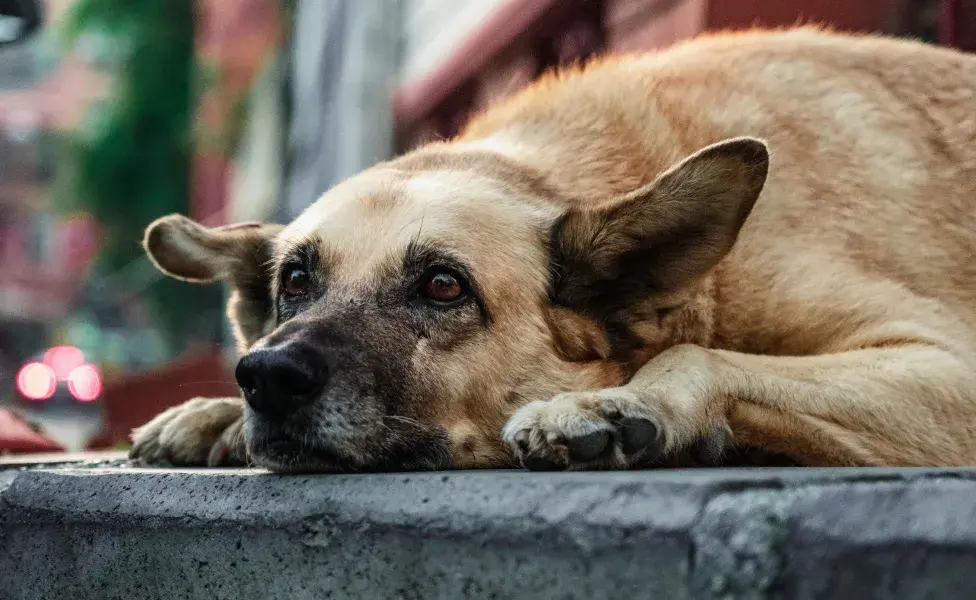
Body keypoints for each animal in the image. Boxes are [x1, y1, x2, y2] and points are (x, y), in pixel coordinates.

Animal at [126, 25, 976, 472]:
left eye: (443, 285)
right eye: (295, 282)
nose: (266, 377)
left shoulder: (947, 367)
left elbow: (699, 355)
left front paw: (618, 401)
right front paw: (214, 415)